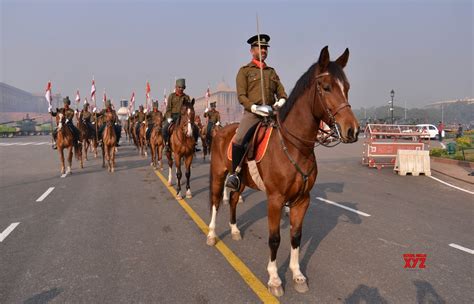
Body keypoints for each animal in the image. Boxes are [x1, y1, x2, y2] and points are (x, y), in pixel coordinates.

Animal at [206, 47, 360, 296]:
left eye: (347, 87)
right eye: (326, 87)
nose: (352, 130)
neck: (295, 146)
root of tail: (221, 130)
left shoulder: (302, 199)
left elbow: (296, 236)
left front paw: (297, 275)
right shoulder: (276, 199)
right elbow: (275, 238)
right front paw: (274, 279)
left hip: (241, 179)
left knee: (234, 199)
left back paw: (235, 229)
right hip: (219, 174)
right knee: (216, 201)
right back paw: (211, 234)